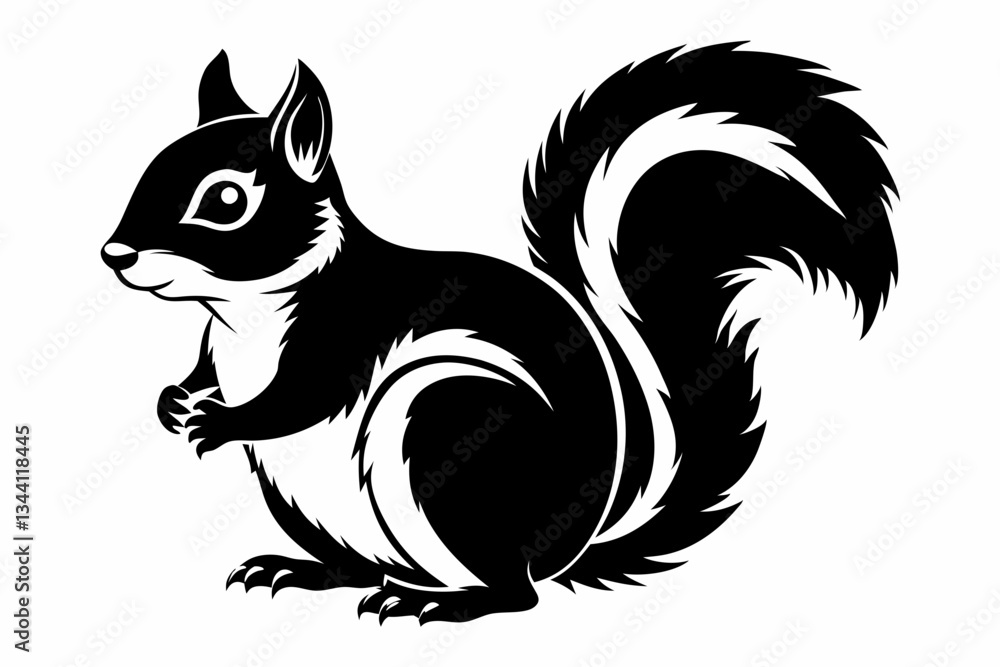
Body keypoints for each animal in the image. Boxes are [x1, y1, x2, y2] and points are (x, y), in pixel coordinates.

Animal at [101, 43, 897, 624]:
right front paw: (175, 400)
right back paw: (305, 570)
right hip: (318, 503)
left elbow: (297, 398)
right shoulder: (217, 346)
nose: (116, 254)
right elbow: (205, 374)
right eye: (150, 167)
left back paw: (434, 602)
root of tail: (575, 542)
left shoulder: (344, 335)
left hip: (448, 433)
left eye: (226, 200)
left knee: (517, 592)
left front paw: (218, 420)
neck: (246, 314)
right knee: (362, 564)